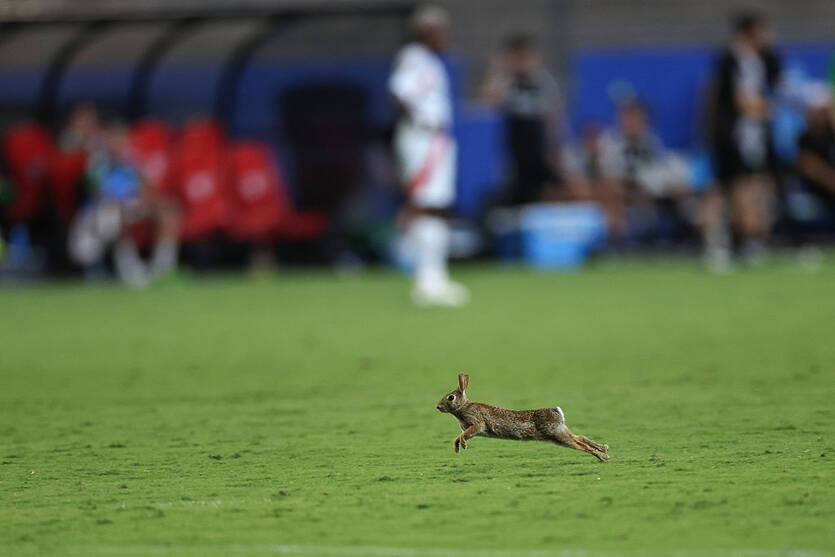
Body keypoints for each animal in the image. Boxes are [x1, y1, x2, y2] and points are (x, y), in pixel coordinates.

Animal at [436, 373, 609, 462]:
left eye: (451, 397)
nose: (437, 407)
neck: (463, 407)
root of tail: (557, 412)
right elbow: (457, 438)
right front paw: (457, 449)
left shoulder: (476, 424)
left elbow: (464, 435)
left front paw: (463, 446)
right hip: (559, 435)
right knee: (579, 437)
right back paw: (604, 449)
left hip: (557, 435)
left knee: (581, 445)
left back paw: (602, 457)